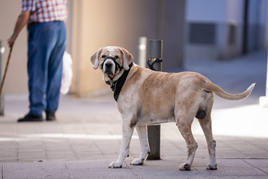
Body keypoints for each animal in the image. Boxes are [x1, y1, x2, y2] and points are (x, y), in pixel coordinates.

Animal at [90, 45, 255, 171]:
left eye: (116, 57)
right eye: (104, 56)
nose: (108, 64)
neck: (125, 76)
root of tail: (203, 80)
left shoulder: (127, 121)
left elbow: (124, 146)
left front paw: (118, 163)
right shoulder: (140, 123)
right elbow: (144, 144)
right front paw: (140, 160)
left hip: (182, 120)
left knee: (193, 144)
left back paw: (187, 165)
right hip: (205, 118)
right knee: (211, 142)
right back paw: (212, 165)